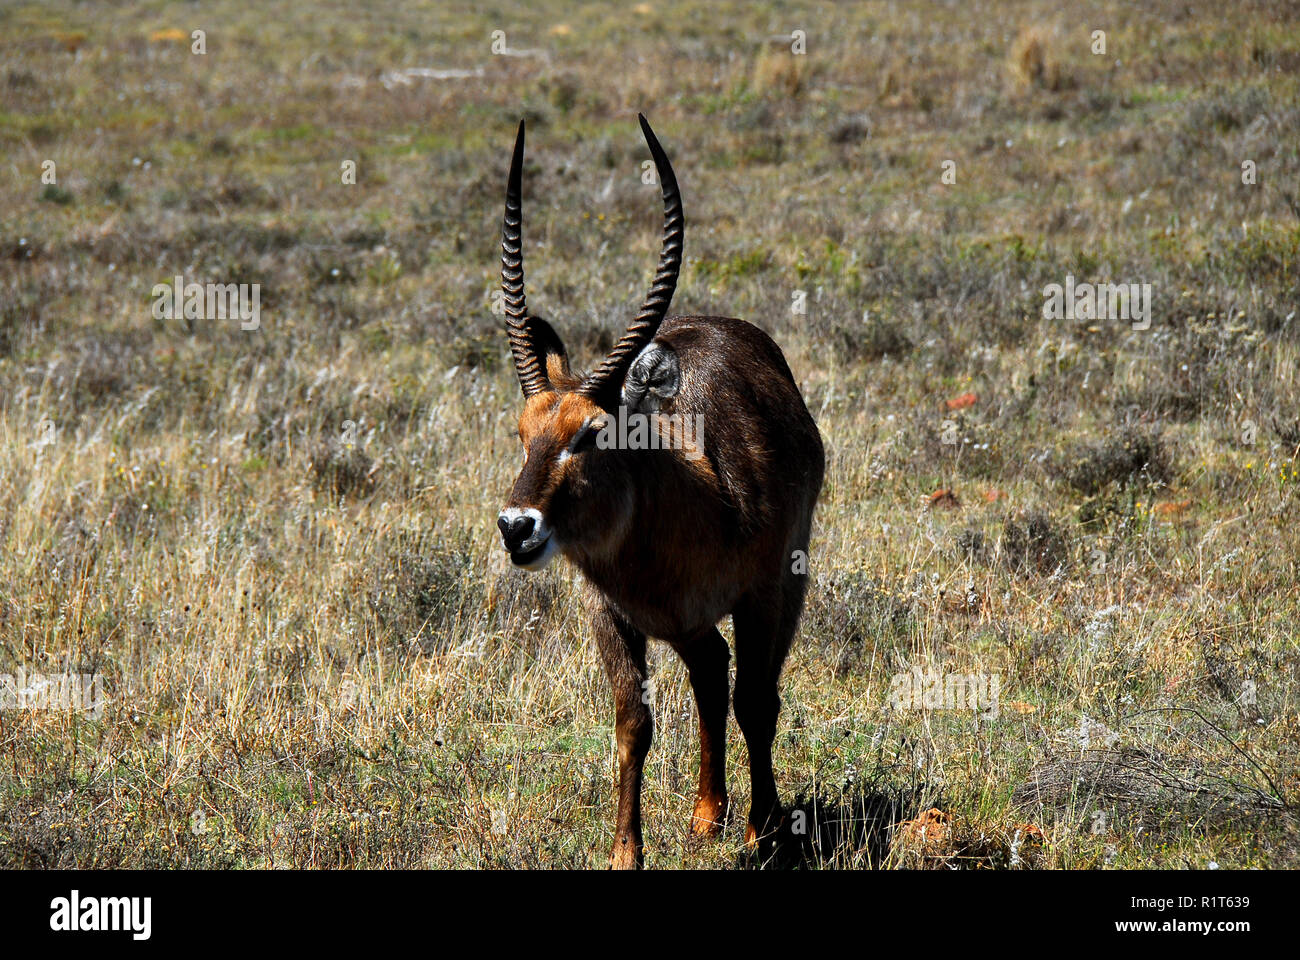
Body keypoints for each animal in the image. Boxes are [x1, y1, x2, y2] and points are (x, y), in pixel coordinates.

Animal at [493, 113, 821, 868]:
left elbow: (757, 700)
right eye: (523, 433)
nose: (518, 527)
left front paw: (766, 831)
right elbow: (632, 723)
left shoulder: (764, 592)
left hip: (771, 591)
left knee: (742, 682)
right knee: (710, 668)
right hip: (684, 622)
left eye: (591, 432)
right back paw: (706, 814)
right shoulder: (610, 613)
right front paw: (626, 853)